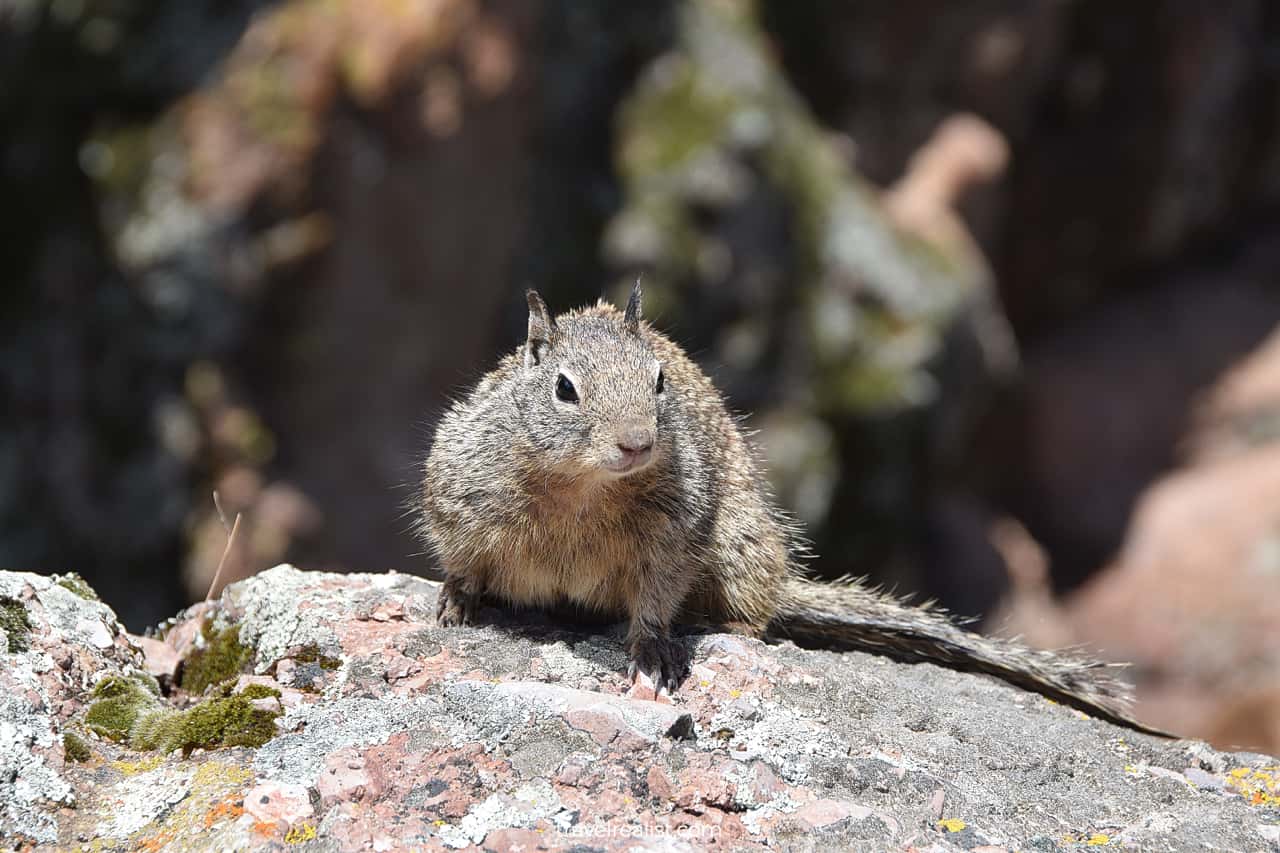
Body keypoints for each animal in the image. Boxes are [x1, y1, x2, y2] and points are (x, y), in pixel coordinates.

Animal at [422, 284, 1172, 732]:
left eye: (659, 381)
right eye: (565, 389)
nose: (637, 442)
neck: (586, 489)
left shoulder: (678, 533)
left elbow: (656, 596)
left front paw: (651, 650)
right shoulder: (460, 499)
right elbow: (462, 558)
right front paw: (457, 600)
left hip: (739, 542)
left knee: (755, 615)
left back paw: (726, 620)